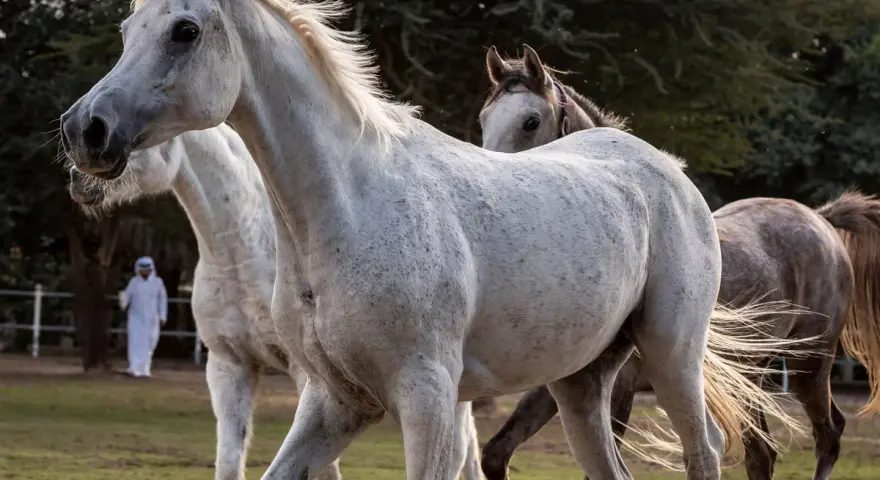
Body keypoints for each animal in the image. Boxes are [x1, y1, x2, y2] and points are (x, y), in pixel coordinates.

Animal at [477, 44, 880, 480]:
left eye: (530, 121)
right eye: (484, 118)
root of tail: (820, 218)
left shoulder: (618, 390)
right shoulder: (561, 381)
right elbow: (496, 453)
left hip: (809, 365)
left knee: (829, 433)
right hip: (751, 377)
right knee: (762, 453)